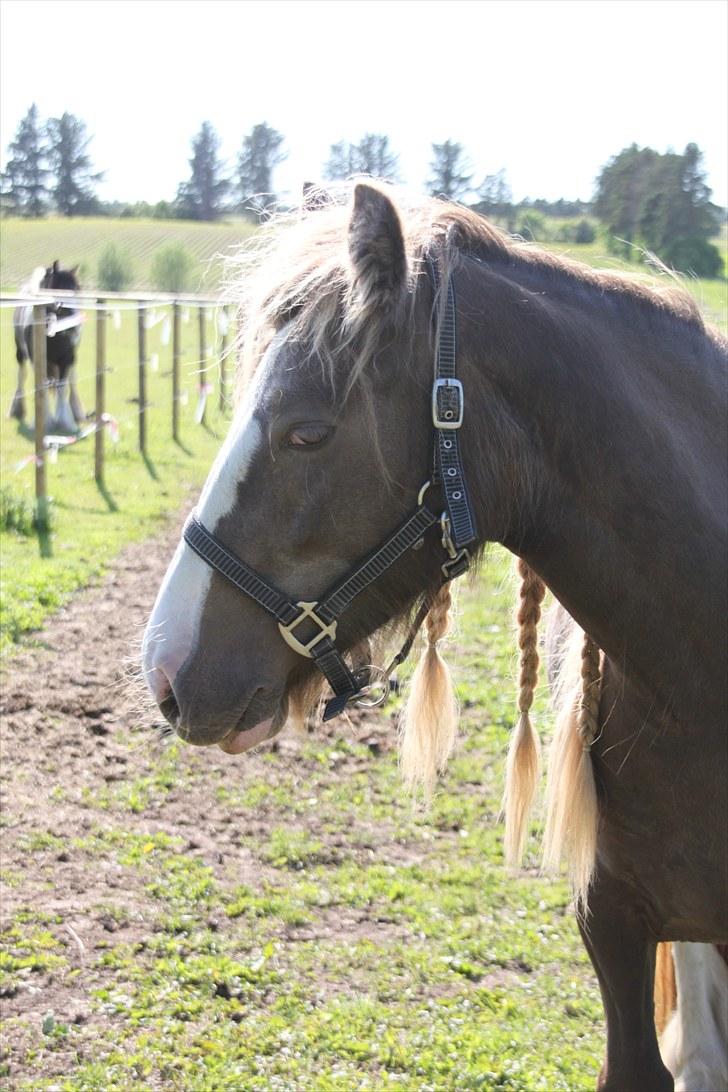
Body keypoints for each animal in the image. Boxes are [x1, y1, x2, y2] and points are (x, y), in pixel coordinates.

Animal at [11, 262, 85, 432]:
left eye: (77, 288)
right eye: (58, 288)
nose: (75, 325)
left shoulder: (67, 359)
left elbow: (62, 388)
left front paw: (65, 422)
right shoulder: (38, 360)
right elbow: (43, 388)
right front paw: (45, 421)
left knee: (71, 380)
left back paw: (76, 413)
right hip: (21, 354)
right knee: (21, 376)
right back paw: (17, 410)